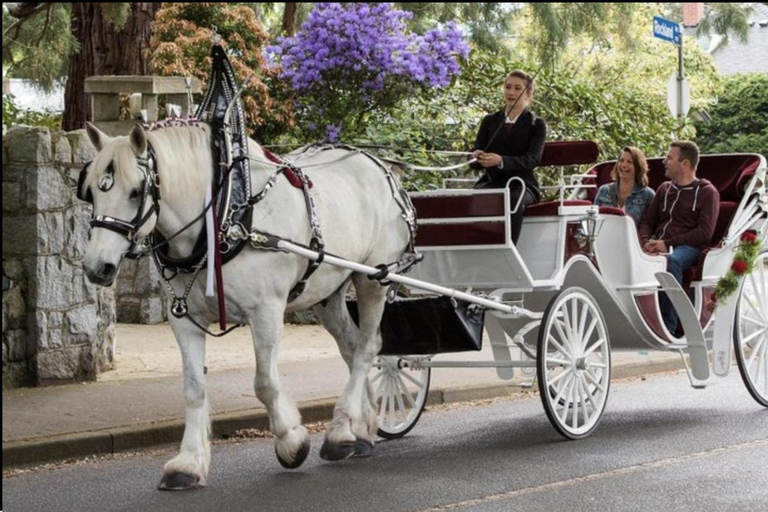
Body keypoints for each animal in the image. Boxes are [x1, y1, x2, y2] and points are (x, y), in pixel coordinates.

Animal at [81, 122, 412, 490]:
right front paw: (189, 463)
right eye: (91, 192)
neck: (224, 217)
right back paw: (360, 431)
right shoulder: (184, 318)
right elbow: (194, 389)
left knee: (369, 347)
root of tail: (381, 167)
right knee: (353, 350)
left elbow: (264, 383)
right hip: (329, 292)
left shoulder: (266, 311)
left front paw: (291, 442)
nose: (96, 267)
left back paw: (340, 431)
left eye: (136, 191)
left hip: (373, 279)